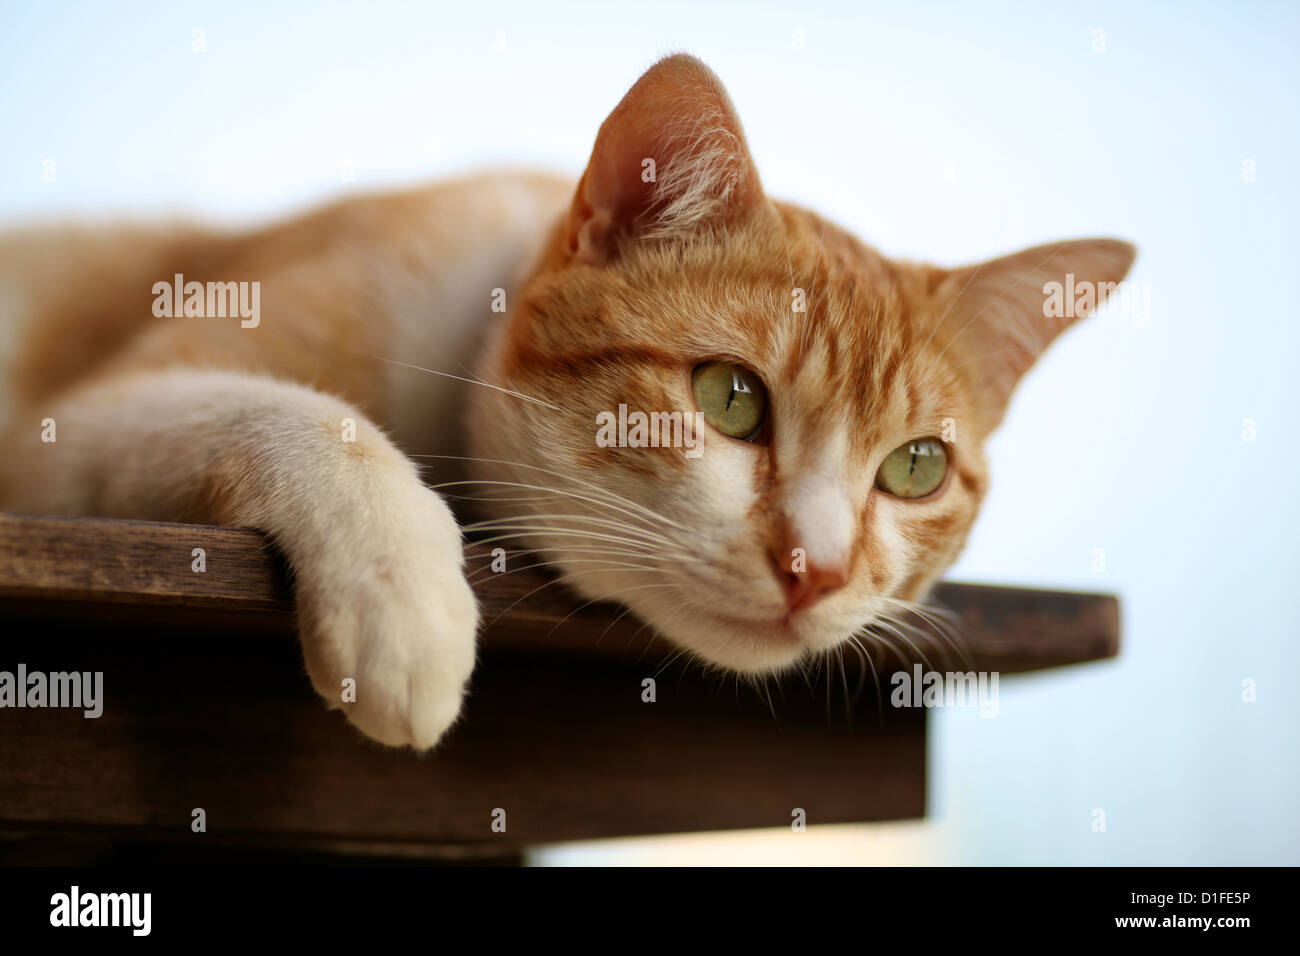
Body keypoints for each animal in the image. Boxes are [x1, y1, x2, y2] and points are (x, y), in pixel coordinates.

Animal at [0, 54, 1133, 749]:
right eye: (729, 398)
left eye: (915, 467)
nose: (817, 568)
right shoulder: (64, 432)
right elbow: (320, 422)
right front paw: (404, 599)